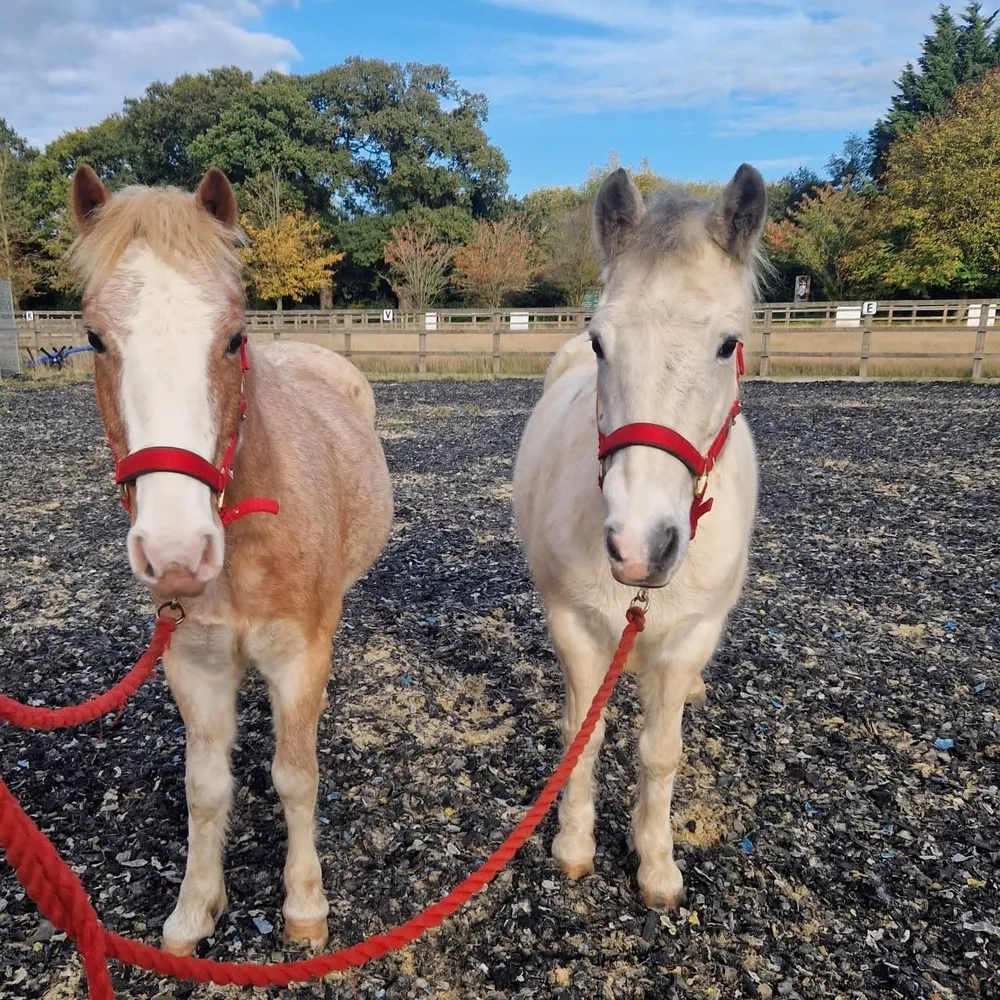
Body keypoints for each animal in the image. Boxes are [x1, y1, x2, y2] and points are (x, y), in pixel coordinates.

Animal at [67, 165, 394, 955]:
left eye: (233, 338)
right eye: (94, 338)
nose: (177, 552)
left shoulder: (299, 657)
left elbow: (295, 775)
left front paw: (304, 906)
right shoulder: (194, 661)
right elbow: (206, 787)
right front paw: (195, 909)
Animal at [512, 164, 766, 908]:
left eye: (727, 344)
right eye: (601, 342)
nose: (638, 547)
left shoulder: (689, 636)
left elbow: (660, 752)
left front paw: (656, 865)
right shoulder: (573, 624)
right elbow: (584, 736)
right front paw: (573, 845)